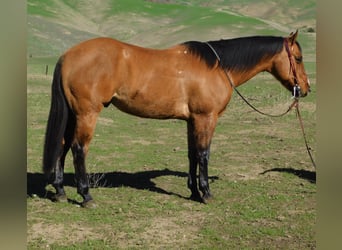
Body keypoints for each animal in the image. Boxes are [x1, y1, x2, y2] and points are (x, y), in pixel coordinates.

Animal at [42, 30, 310, 207]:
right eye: (298, 58)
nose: (306, 89)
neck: (218, 67)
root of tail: (68, 56)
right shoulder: (206, 118)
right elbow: (204, 154)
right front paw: (206, 193)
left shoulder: (192, 120)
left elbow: (192, 154)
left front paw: (193, 192)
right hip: (87, 114)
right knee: (78, 149)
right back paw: (86, 195)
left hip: (73, 115)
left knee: (63, 146)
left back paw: (60, 191)